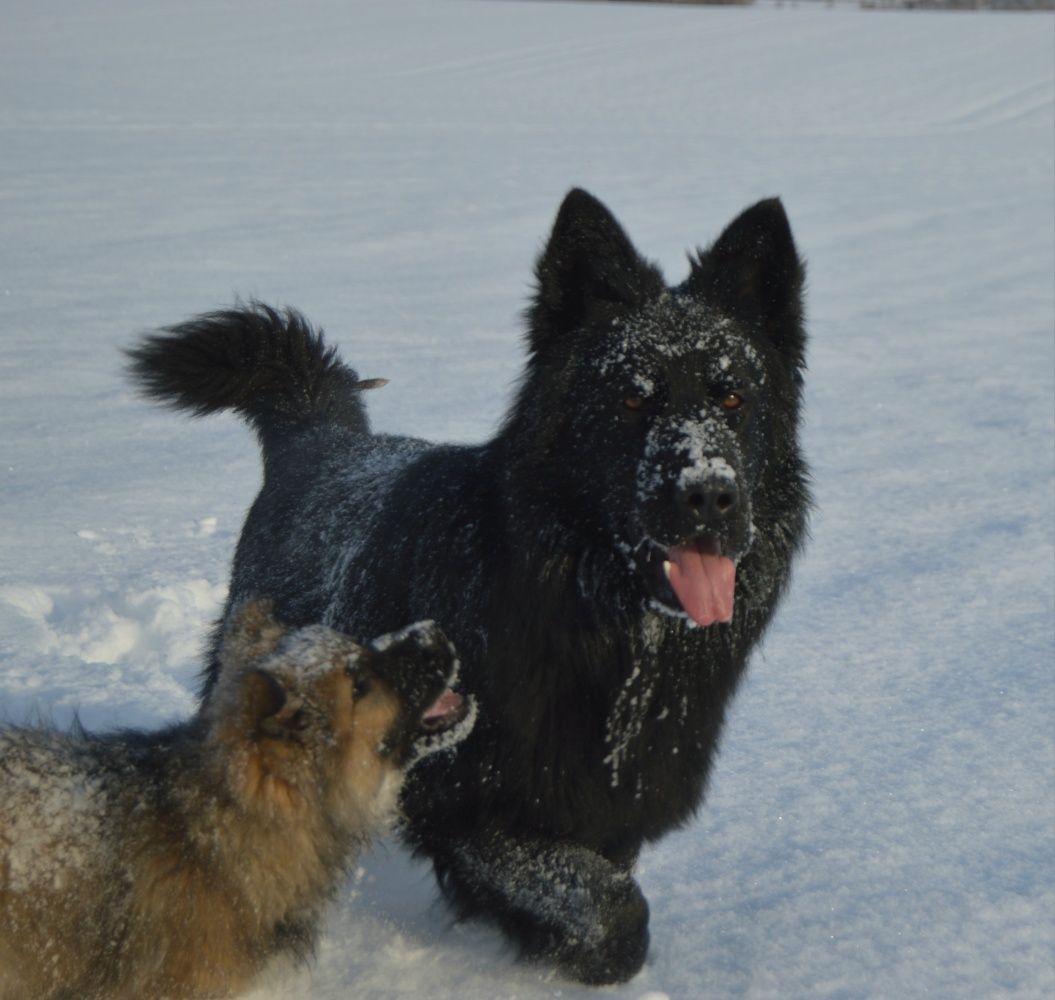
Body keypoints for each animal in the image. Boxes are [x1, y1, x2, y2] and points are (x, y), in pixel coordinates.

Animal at [127, 189, 810, 983]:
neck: (590, 618)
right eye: (632, 401)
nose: (709, 497)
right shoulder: (459, 799)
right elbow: (610, 907)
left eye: (731, 399)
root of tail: (320, 439)